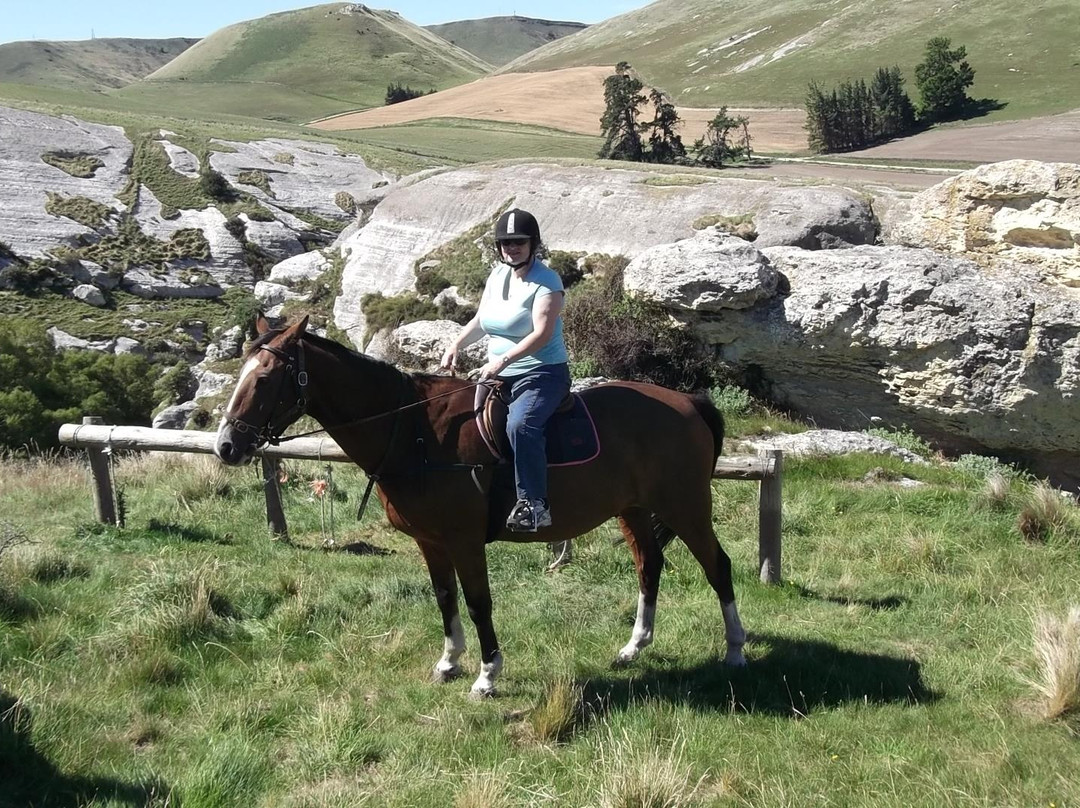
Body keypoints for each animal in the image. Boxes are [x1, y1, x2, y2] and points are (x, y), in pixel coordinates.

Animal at [214, 315, 747, 695]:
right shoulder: (430, 542)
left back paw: (736, 651)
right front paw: (449, 661)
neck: (417, 432)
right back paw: (634, 646)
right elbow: (445, 597)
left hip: (686, 507)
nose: (226, 446)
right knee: (648, 565)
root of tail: (689, 402)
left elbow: (477, 602)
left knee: (718, 566)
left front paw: (488, 674)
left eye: (266, 379)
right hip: (633, 508)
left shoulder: (464, 541)